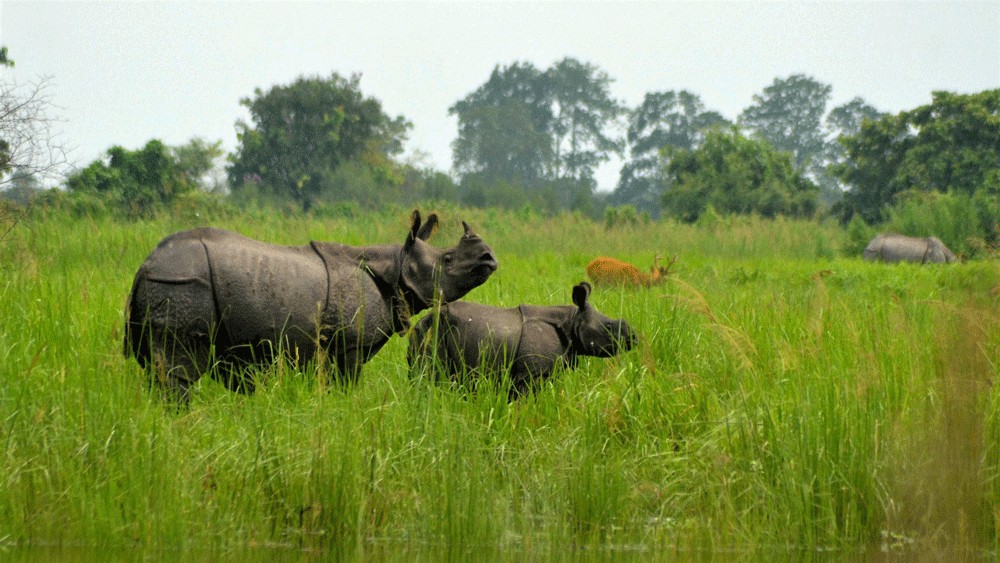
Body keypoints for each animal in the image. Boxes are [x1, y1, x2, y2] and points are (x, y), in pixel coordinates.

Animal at [125, 212, 496, 400]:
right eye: (447, 259)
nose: (489, 258)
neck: (396, 264)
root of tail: (145, 265)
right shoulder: (348, 344)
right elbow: (345, 385)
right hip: (182, 281)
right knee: (178, 369)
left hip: (173, 280)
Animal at [408, 282, 636, 396]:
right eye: (609, 326)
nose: (633, 337)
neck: (571, 321)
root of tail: (418, 324)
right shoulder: (531, 374)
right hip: (433, 332)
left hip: (427, 332)